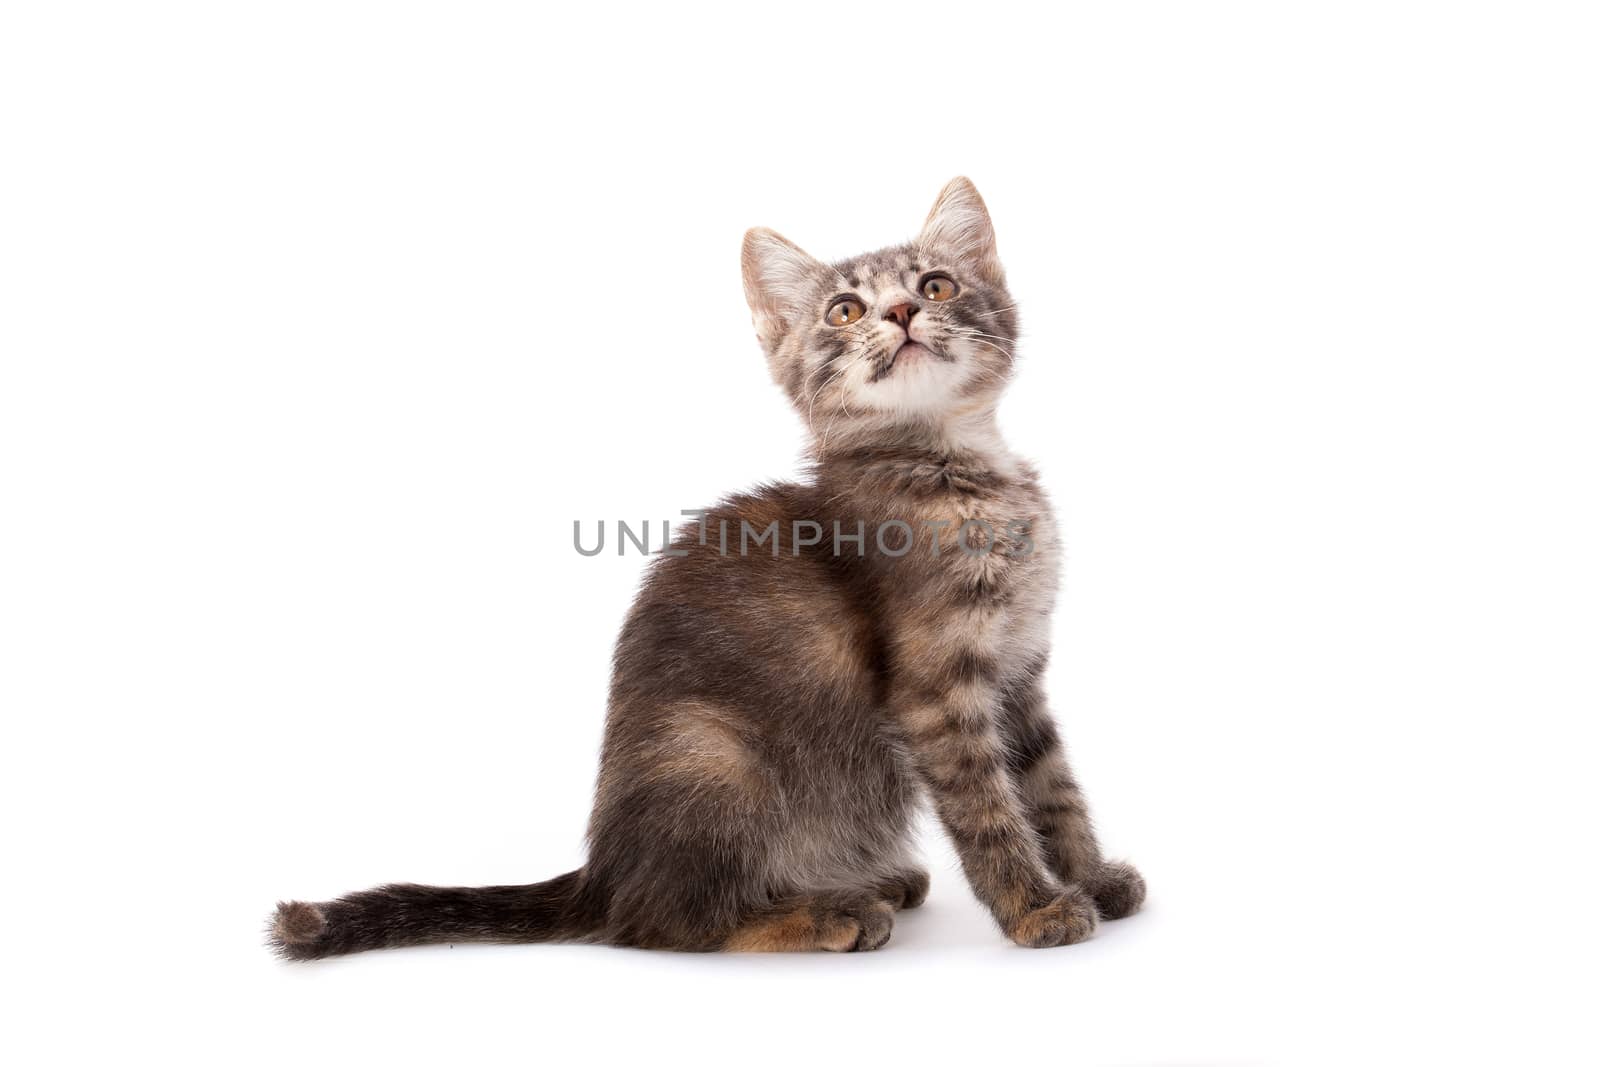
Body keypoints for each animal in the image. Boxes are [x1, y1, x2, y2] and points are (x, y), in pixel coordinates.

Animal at [278, 177, 1152, 959]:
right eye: (845, 310)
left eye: (936, 285)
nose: (903, 313)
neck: (954, 466)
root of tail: (602, 872)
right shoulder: (937, 686)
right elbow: (988, 807)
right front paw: (1035, 906)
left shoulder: (1021, 667)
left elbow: (1051, 784)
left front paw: (1092, 876)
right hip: (715, 756)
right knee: (664, 921)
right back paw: (824, 913)